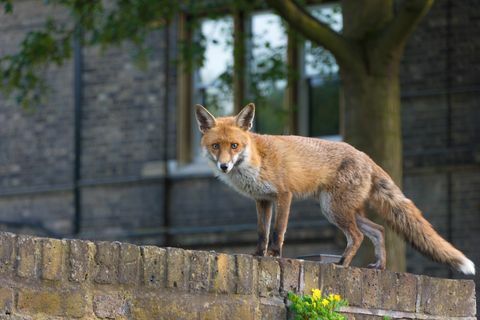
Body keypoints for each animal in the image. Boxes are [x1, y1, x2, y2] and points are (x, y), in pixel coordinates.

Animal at [193, 103, 474, 276]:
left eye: (235, 145)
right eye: (216, 146)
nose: (224, 166)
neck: (256, 159)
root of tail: (366, 156)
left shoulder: (284, 195)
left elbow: (277, 233)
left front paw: (274, 257)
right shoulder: (263, 200)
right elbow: (262, 233)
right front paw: (257, 256)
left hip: (333, 209)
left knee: (357, 237)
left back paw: (342, 265)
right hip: (342, 210)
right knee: (379, 230)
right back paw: (379, 266)